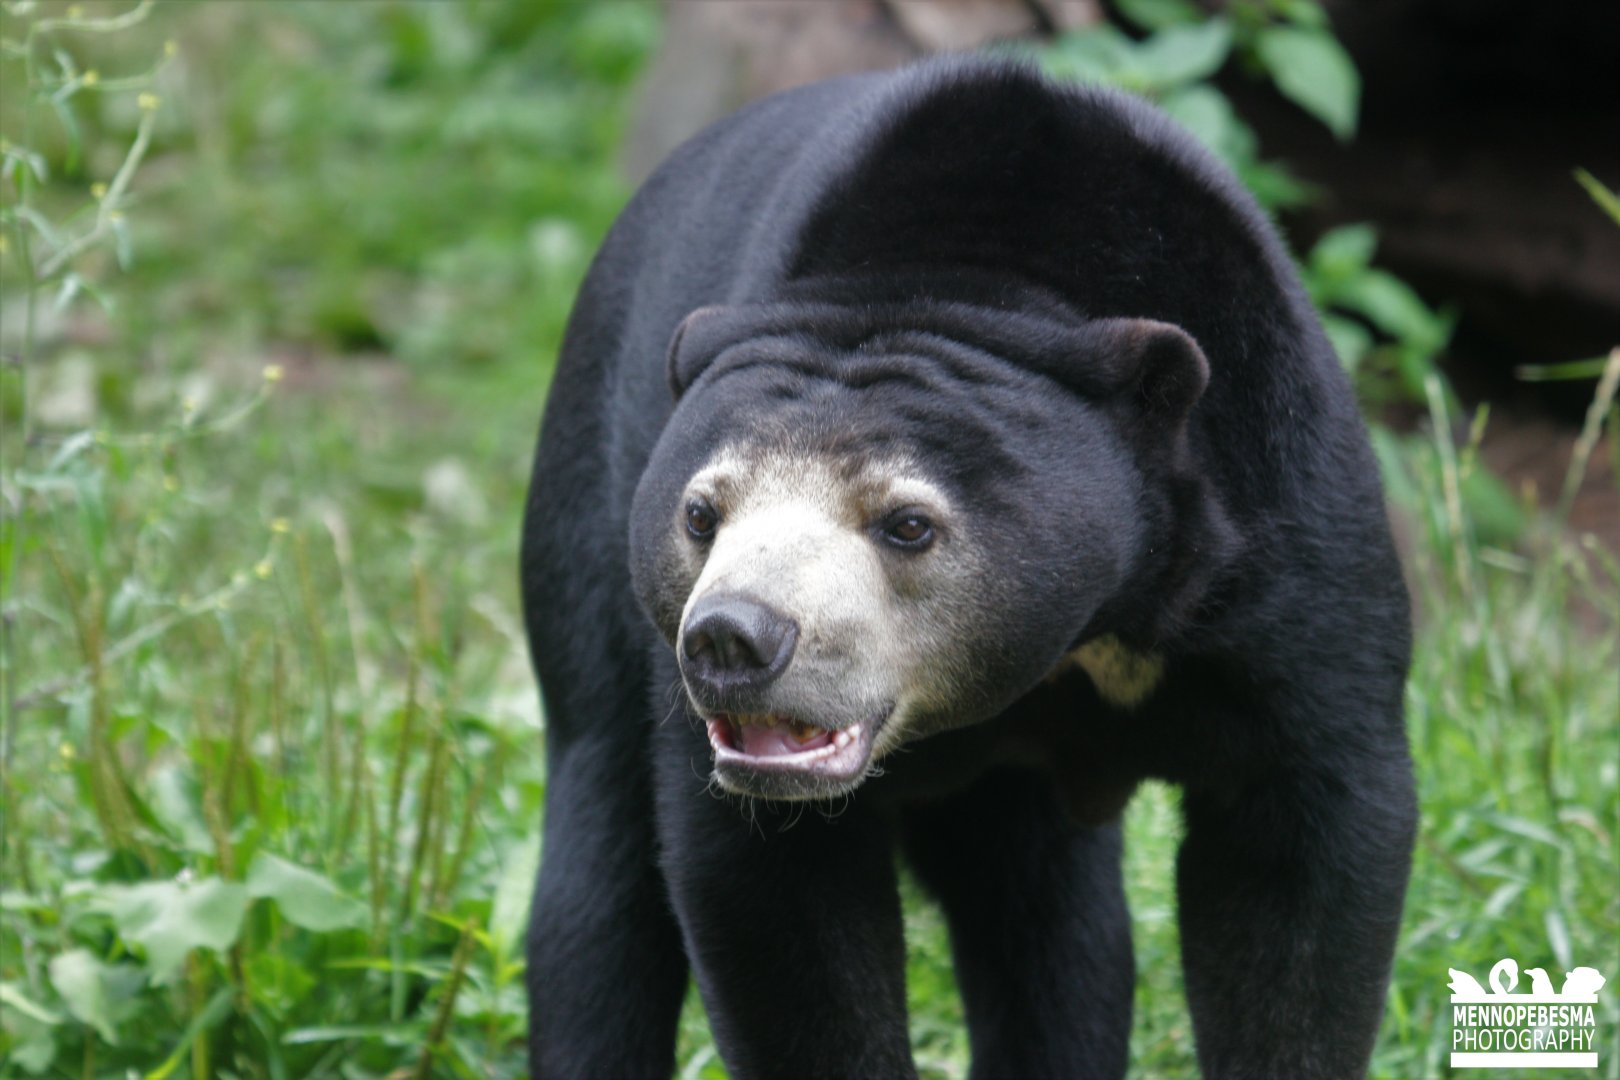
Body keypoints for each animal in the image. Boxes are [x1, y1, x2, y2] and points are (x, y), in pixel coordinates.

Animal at [520, 57, 1416, 1080]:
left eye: (908, 524)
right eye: (701, 514)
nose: (730, 641)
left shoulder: (1285, 552)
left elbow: (1301, 856)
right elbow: (770, 901)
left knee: (1056, 931)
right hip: (584, 517)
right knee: (598, 878)